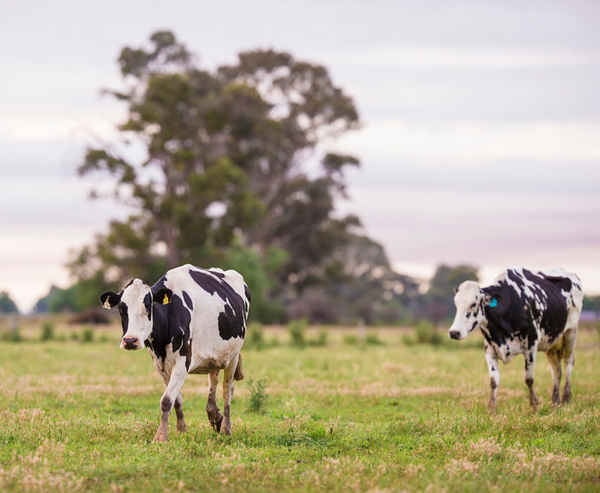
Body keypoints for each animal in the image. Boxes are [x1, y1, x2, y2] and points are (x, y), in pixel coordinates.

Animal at [99, 264, 250, 440]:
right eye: (122, 309)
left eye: (149, 306)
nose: (130, 340)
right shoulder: (161, 364)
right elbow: (175, 400)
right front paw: (181, 430)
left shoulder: (183, 361)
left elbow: (166, 400)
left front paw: (161, 437)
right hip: (215, 356)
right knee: (213, 381)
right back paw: (214, 416)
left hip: (233, 356)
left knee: (227, 392)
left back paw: (226, 429)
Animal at [450, 268, 580, 410]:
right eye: (456, 304)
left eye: (473, 304)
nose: (454, 332)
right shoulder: (490, 348)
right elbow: (493, 380)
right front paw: (492, 408)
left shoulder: (531, 346)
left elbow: (529, 379)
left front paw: (534, 405)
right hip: (551, 342)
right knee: (556, 370)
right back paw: (555, 401)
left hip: (570, 333)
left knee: (568, 363)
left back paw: (566, 398)